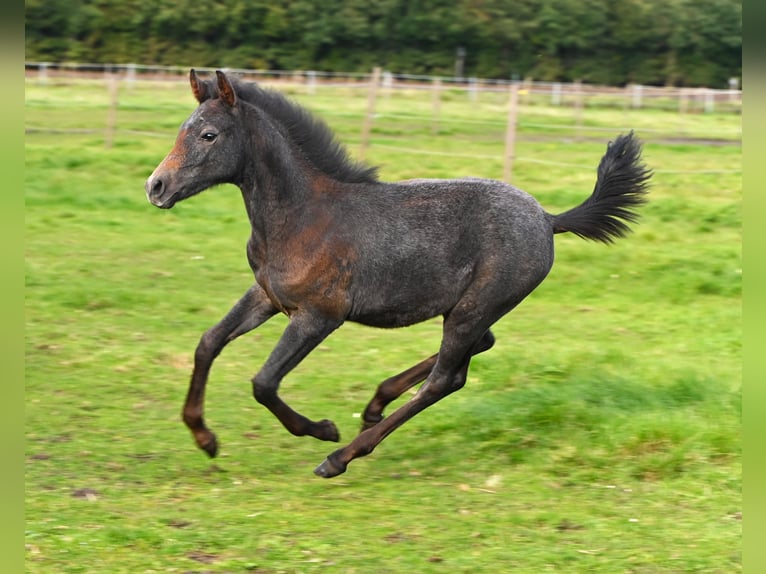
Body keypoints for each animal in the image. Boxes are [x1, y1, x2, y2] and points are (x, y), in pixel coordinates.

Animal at [145, 69, 651, 478]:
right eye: (183, 129)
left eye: (209, 135)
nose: (156, 186)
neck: (302, 215)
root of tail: (548, 218)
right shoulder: (268, 296)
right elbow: (209, 341)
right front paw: (205, 438)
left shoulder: (318, 316)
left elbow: (264, 383)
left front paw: (322, 429)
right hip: (469, 309)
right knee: (478, 348)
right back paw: (375, 403)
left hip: (475, 306)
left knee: (446, 379)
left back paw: (341, 456)